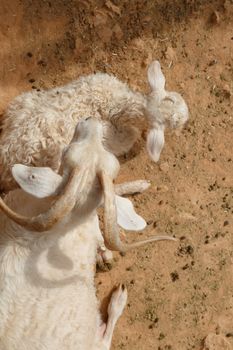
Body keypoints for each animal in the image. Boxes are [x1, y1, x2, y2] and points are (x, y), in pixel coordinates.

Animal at [0, 60, 187, 191]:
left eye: (173, 98)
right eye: (174, 123)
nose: (186, 115)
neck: (115, 106)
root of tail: (7, 158)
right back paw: (139, 185)